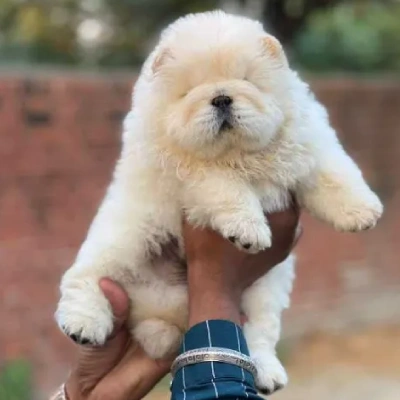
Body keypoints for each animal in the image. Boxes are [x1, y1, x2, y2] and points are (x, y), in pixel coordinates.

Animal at [54, 10, 382, 392]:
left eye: (246, 81)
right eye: (190, 91)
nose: (222, 97)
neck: (237, 155)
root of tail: (167, 309)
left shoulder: (307, 146)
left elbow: (335, 172)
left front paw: (364, 212)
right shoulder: (193, 173)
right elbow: (227, 187)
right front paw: (250, 231)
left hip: (266, 286)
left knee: (258, 331)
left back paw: (267, 373)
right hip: (123, 243)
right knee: (86, 278)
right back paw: (84, 325)